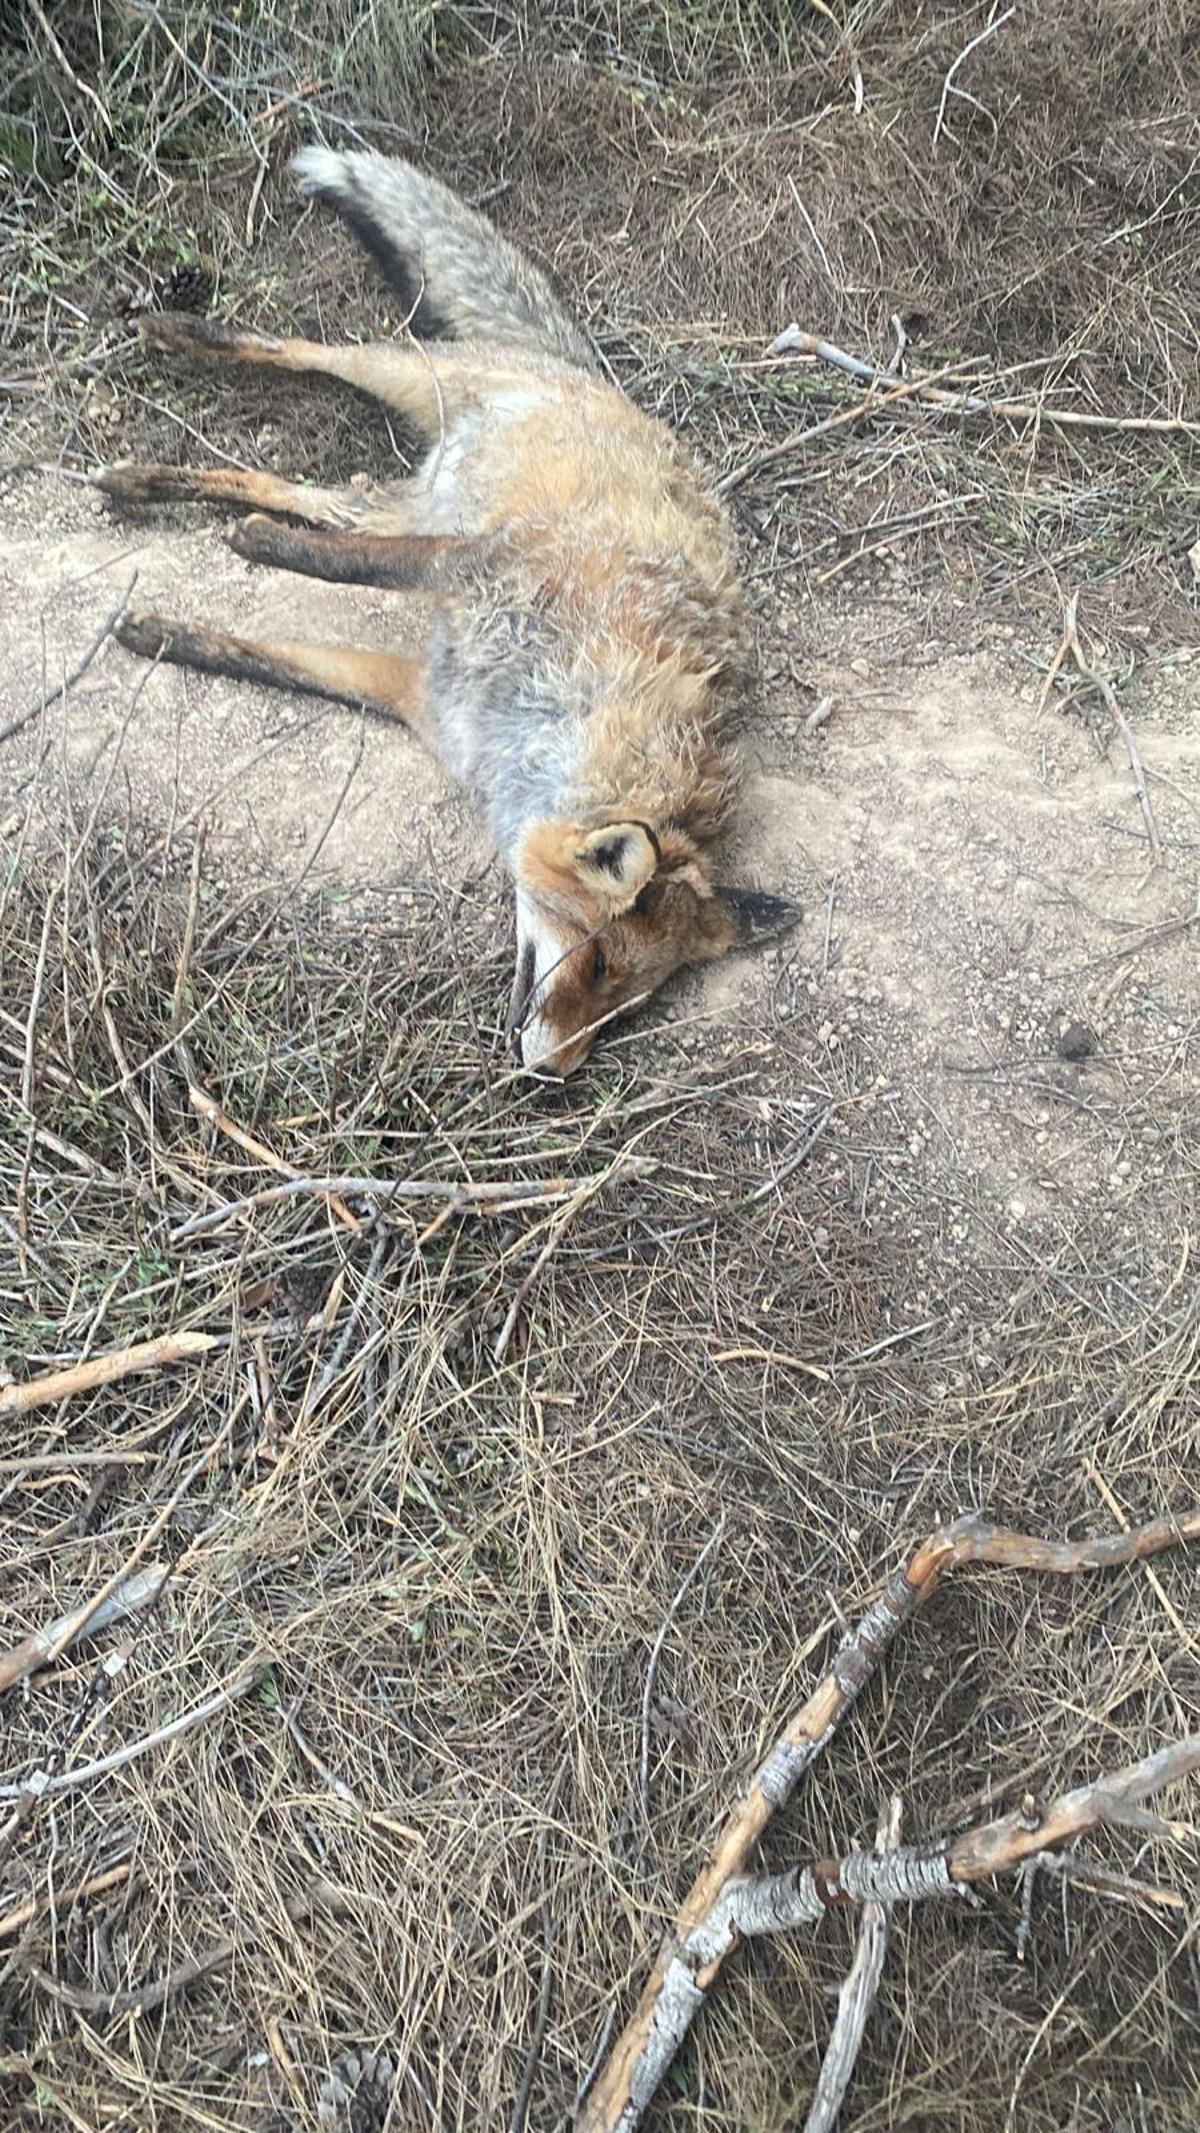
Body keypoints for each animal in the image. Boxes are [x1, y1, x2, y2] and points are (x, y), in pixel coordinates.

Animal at [96, 149, 801, 1074]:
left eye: (628, 1009)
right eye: (598, 961)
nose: (554, 1076)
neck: (570, 717)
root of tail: (598, 380)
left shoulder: (417, 693)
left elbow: (275, 655)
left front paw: (164, 633)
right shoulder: (481, 559)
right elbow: (351, 571)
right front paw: (259, 556)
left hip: (398, 497)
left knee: (306, 493)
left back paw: (152, 481)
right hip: (408, 385)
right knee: (306, 353)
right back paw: (181, 335)